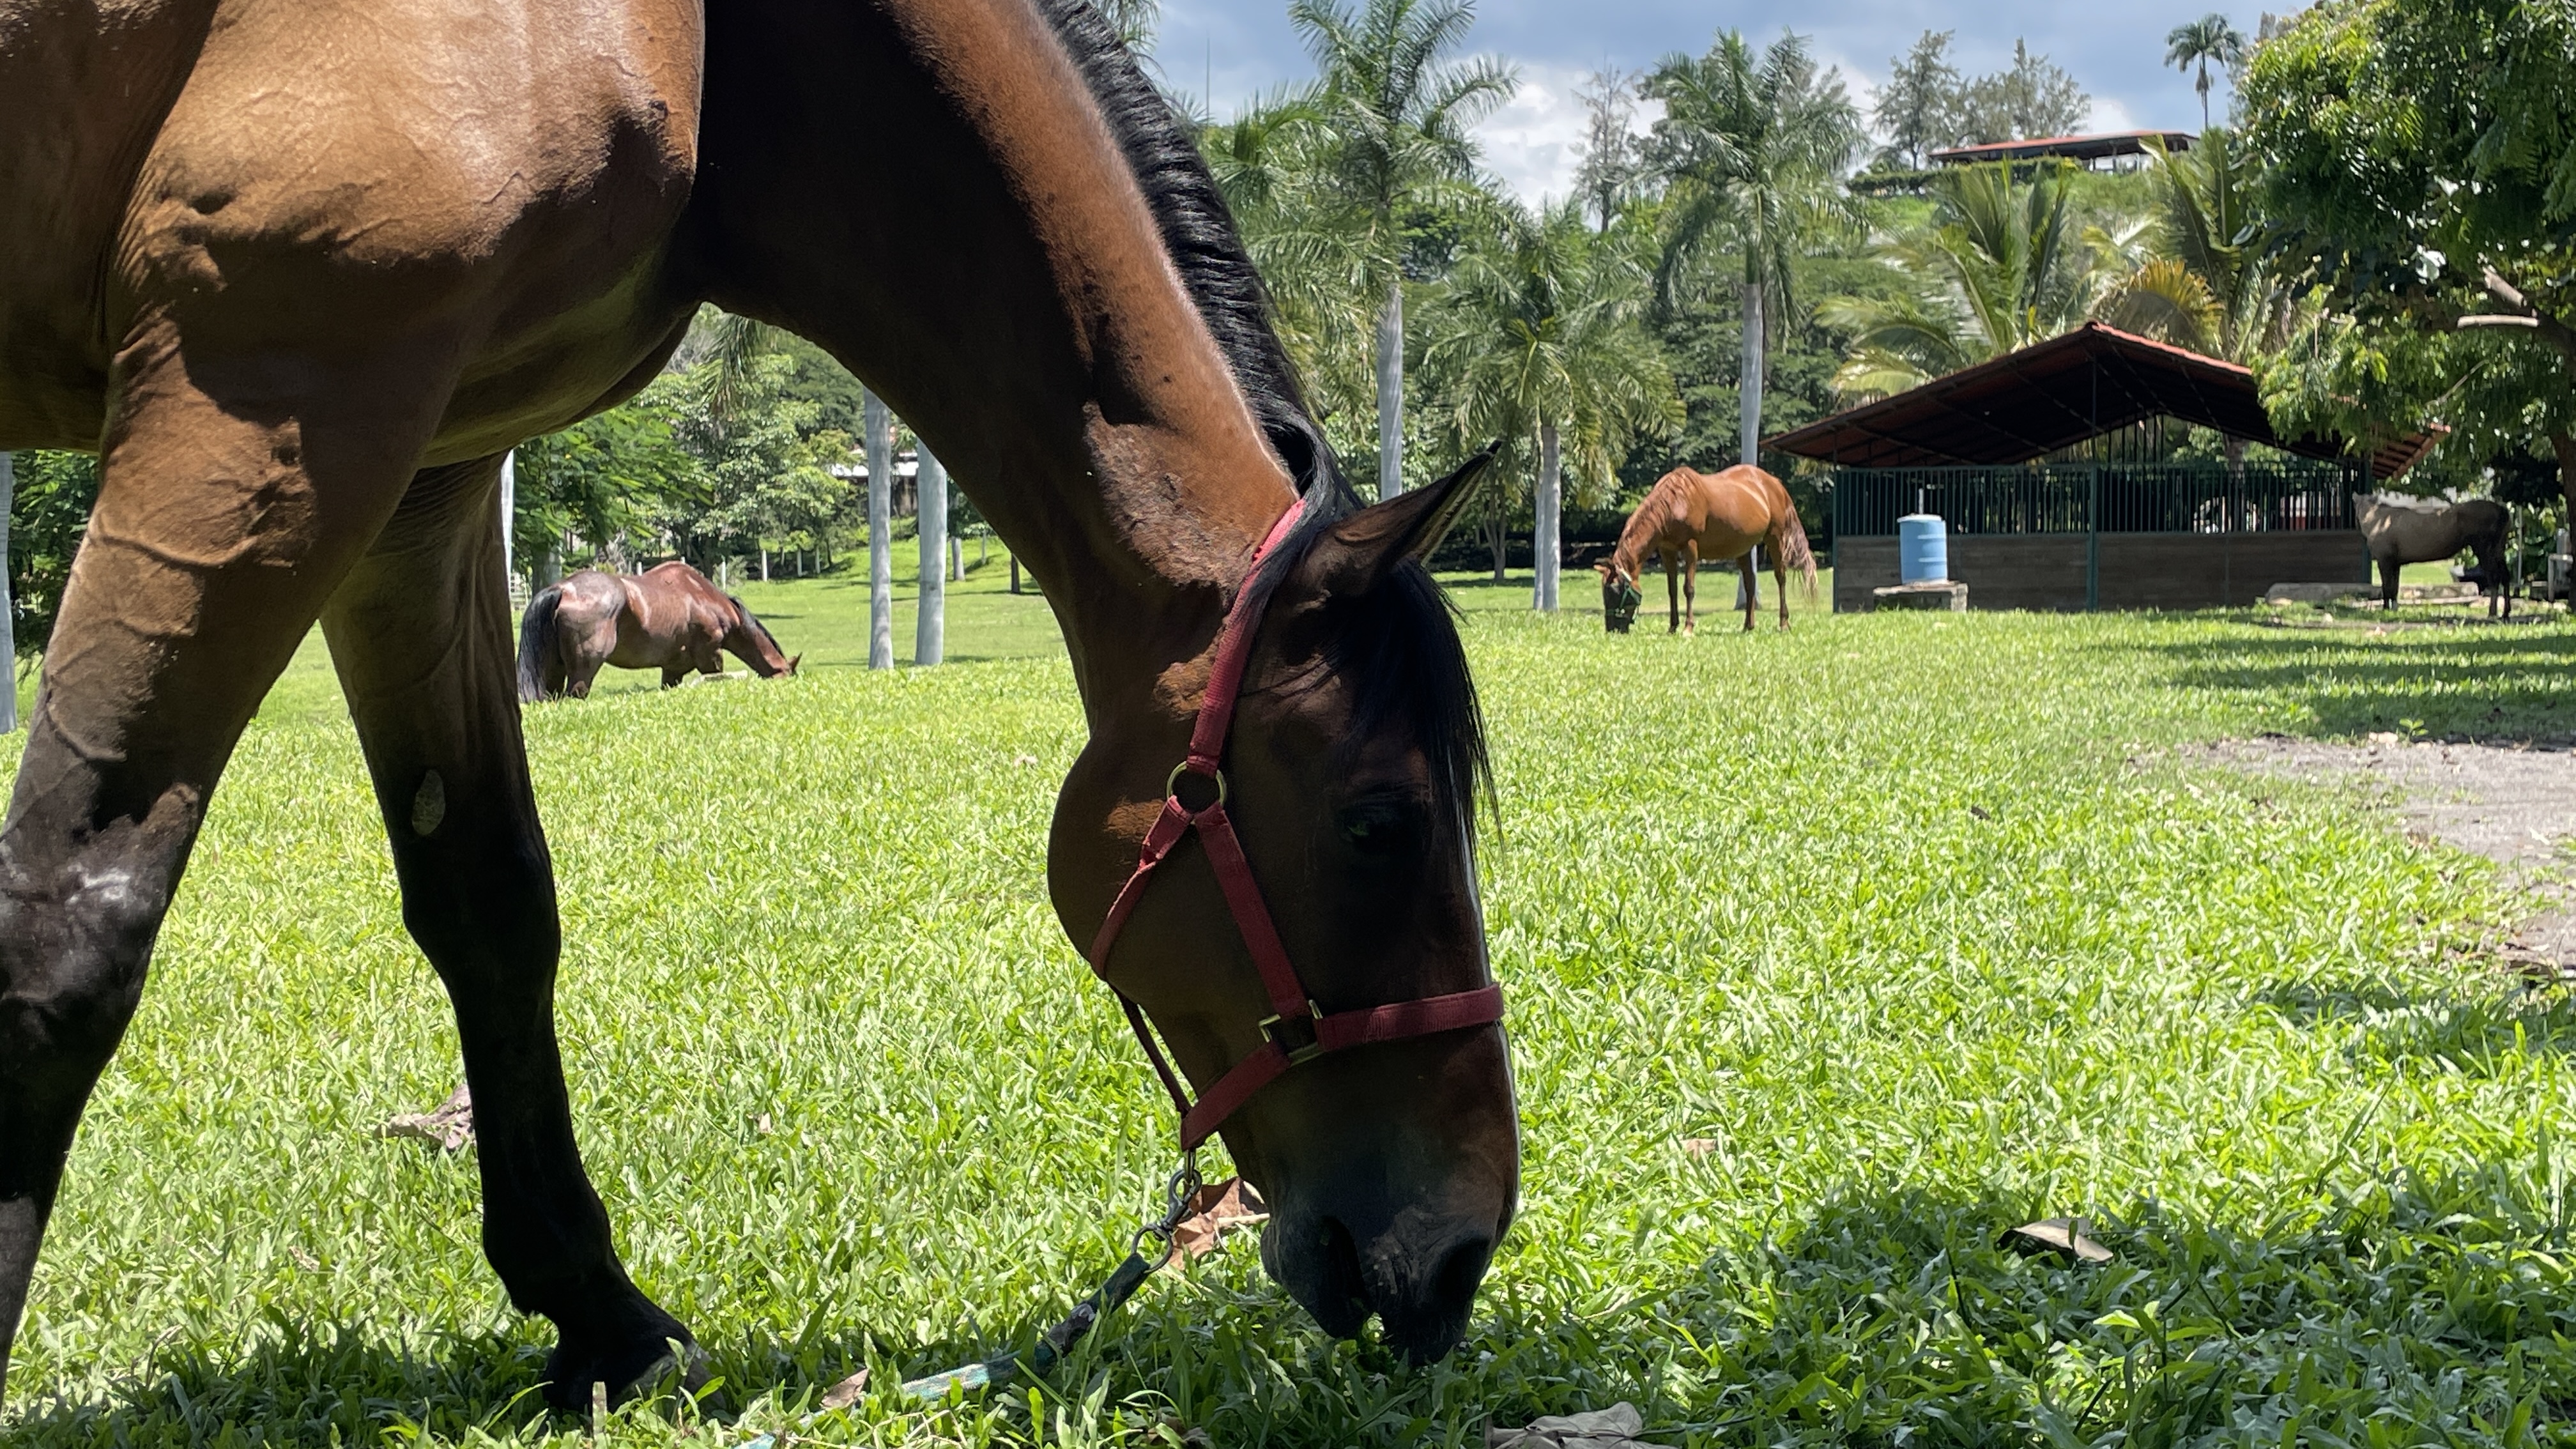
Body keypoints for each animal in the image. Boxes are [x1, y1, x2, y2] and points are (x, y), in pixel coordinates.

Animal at [518, 554, 798, 696]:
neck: (704, 595)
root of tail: (563, 589)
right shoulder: (710, 655)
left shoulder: (672, 670)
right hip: (583, 671)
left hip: (554, 671)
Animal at [1586, 464, 1813, 629]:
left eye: (1616, 590)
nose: (1612, 629)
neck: (1674, 503)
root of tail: (1775, 484)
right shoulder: (1667, 551)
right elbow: (1672, 590)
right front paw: (1672, 627)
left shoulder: (1691, 548)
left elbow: (1688, 588)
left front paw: (1688, 627)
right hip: (1743, 548)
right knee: (1750, 583)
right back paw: (1748, 626)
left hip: (1775, 539)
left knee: (1781, 578)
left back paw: (1784, 624)